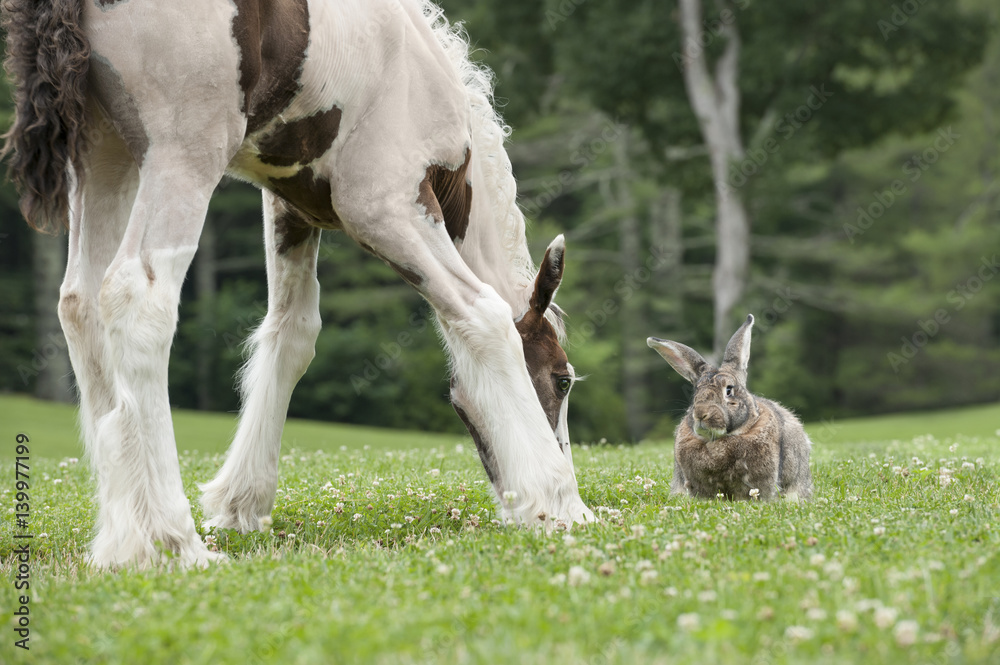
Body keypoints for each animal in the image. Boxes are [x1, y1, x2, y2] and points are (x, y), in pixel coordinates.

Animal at [2, 0, 594, 569]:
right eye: (562, 380)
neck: (416, 72)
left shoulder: (290, 203)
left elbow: (293, 332)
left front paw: (241, 503)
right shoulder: (384, 205)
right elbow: (481, 312)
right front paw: (560, 502)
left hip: (104, 152)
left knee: (80, 303)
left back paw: (124, 542)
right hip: (182, 154)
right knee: (137, 296)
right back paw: (172, 542)